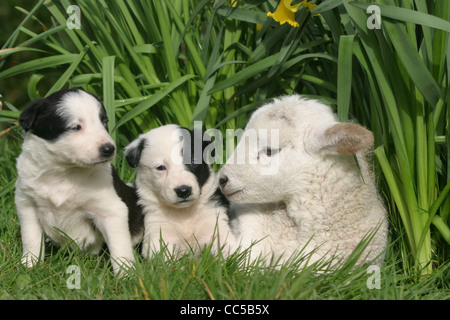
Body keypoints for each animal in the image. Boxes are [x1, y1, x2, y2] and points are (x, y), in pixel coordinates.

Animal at [15, 88, 142, 276]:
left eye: (104, 122)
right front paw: (29, 264)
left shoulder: (111, 210)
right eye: (76, 127)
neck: (64, 172)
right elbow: (31, 238)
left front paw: (127, 275)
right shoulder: (27, 203)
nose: (109, 149)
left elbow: (120, 247)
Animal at [124, 124, 234, 258]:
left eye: (193, 162)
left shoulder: (215, 222)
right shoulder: (159, 231)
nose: (183, 191)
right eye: (161, 167)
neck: (184, 213)